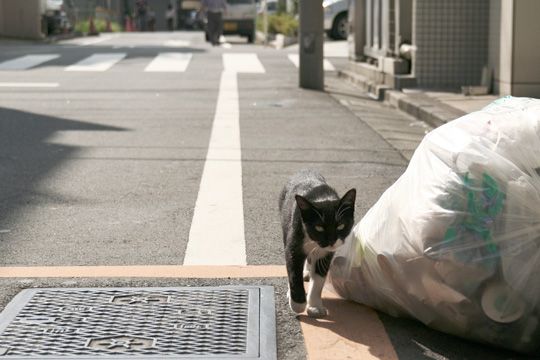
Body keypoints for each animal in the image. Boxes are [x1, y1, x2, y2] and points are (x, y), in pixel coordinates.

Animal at [280, 169, 356, 318]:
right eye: (319, 227)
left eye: (340, 226)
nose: (331, 240)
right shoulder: (294, 243)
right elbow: (293, 271)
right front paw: (298, 304)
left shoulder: (326, 253)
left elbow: (319, 278)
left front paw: (315, 307)